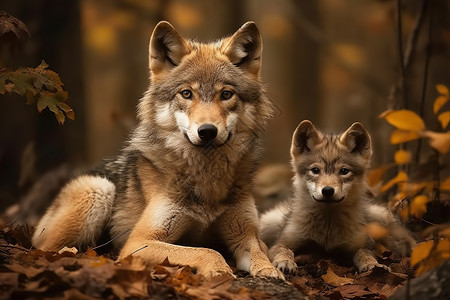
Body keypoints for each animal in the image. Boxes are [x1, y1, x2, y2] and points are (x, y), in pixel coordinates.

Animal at [33, 21, 284, 278]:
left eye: (226, 94)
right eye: (186, 93)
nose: (207, 131)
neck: (207, 178)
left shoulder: (245, 234)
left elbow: (260, 251)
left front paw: (271, 270)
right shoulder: (138, 243)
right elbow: (207, 251)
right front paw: (219, 271)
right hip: (99, 190)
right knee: (47, 249)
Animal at [260, 121, 414, 274]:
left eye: (344, 171)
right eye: (315, 170)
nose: (328, 190)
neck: (328, 229)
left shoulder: (362, 244)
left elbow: (365, 254)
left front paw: (373, 265)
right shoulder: (282, 242)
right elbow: (285, 251)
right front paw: (285, 262)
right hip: (269, 223)